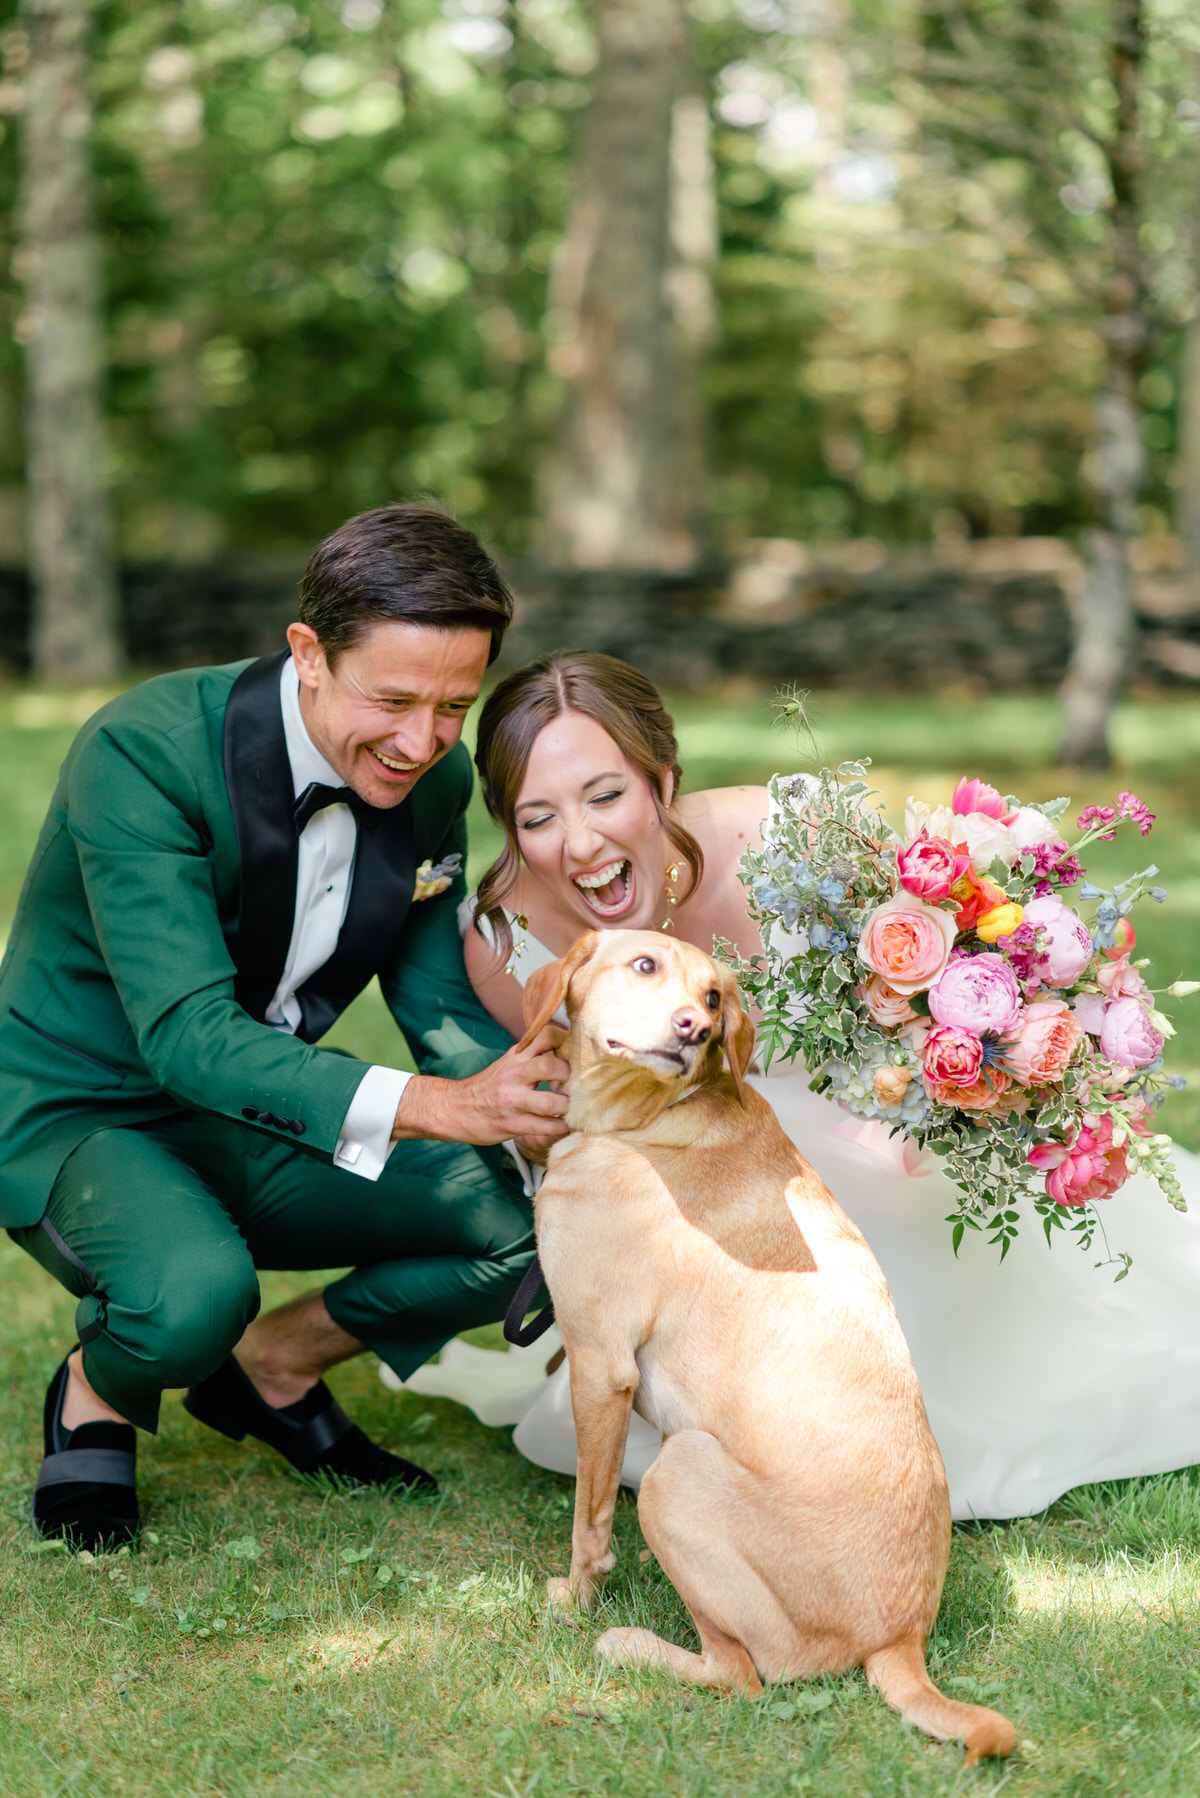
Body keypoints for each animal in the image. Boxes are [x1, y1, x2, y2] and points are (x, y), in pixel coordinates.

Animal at [521, 934, 1021, 1762]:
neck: (648, 1119)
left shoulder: (598, 1364)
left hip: (676, 1472)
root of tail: (904, 1637)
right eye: (646, 965)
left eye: (714, 997)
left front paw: (577, 1600)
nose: (693, 1027)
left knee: (740, 1675)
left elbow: (588, 1524)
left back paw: (631, 1645)